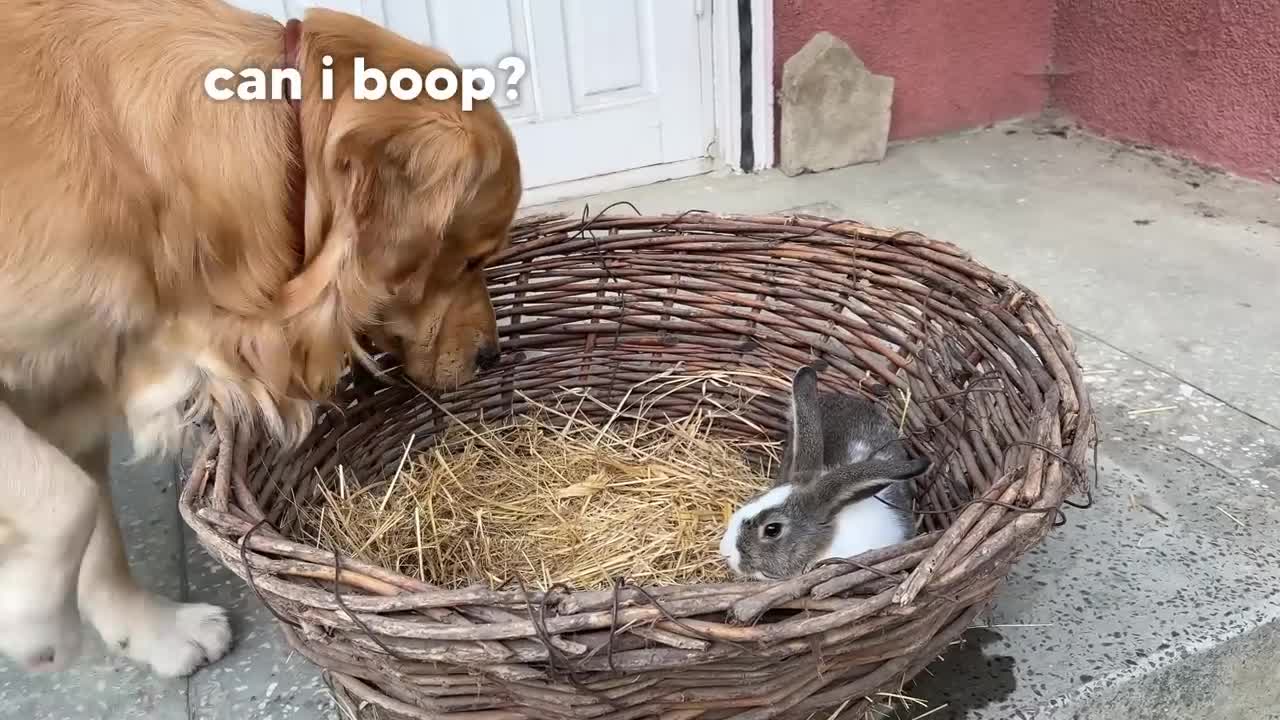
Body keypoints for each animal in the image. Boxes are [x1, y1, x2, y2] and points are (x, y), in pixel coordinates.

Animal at [1, 0, 519, 671]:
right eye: (471, 259)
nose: (492, 356)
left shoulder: (72, 373)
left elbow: (92, 513)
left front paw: (145, 629)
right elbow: (67, 497)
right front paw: (34, 627)